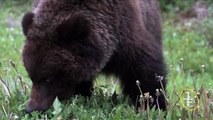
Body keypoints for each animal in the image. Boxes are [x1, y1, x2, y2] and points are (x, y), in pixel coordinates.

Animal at [22, 0, 166, 113]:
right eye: (31, 77)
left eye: (47, 78)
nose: (31, 108)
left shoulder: (127, 41)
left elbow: (146, 74)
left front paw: (154, 106)